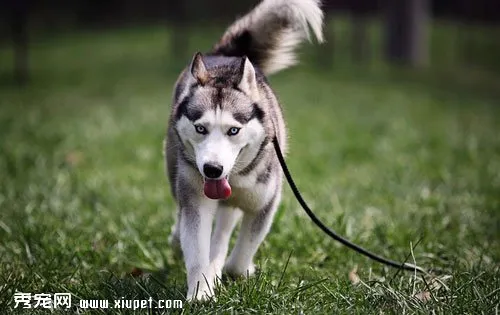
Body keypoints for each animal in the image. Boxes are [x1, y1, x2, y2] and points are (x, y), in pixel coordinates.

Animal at [164, 0, 324, 302]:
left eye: (233, 131)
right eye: (200, 128)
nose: (212, 169)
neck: (235, 177)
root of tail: (225, 56)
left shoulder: (264, 203)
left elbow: (238, 259)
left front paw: (232, 270)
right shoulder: (196, 200)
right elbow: (197, 250)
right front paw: (200, 292)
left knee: (224, 229)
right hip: (174, 168)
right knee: (182, 210)